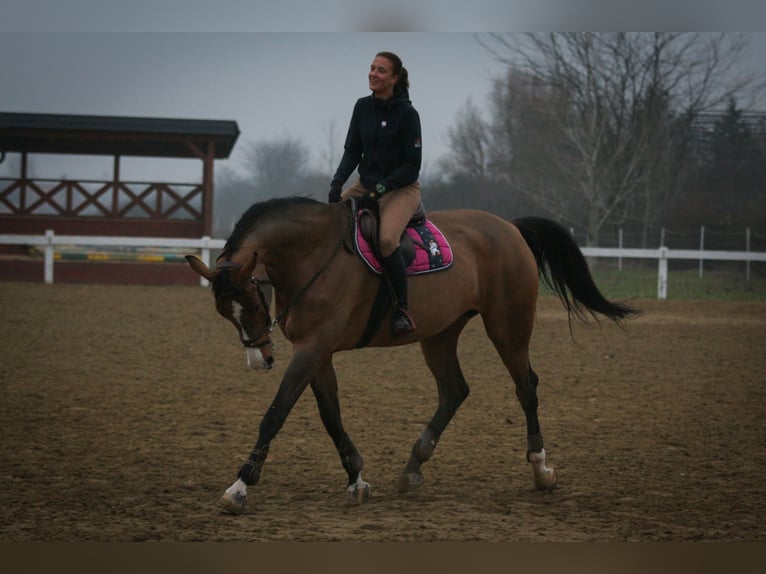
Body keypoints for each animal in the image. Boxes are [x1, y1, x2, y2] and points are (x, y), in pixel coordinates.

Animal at [186, 196, 638, 513]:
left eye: (252, 301)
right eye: (225, 312)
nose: (259, 360)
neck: (314, 255)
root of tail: (508, 227)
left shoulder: (312, 349)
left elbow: (275, 414)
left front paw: (240, 486)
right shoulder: (317, 353)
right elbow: (331, 417)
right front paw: (356, 479)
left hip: (507, 327)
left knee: (526, 387)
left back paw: (541, 470)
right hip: (440, 334)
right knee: (455, 390)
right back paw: (414, 465)